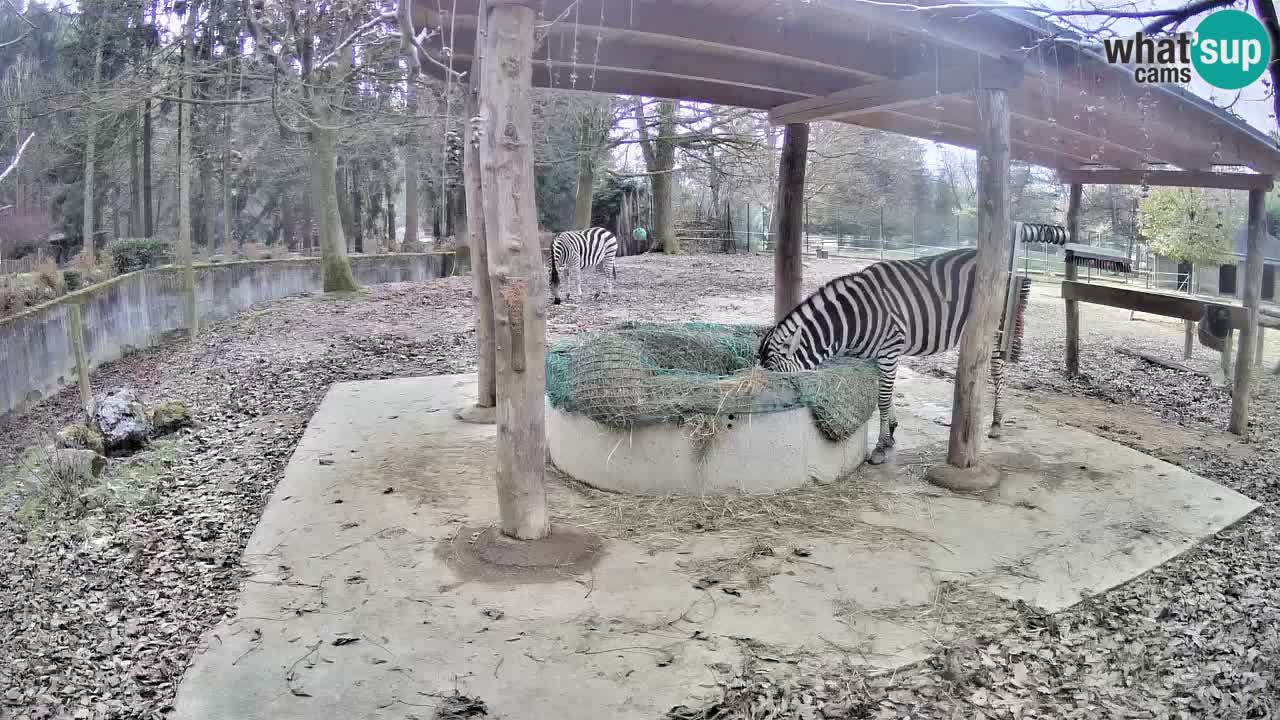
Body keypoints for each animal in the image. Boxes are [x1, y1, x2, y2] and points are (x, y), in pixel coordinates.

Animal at [757, 245, 1029, 466]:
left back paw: (996, 422)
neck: (853, 319)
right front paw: (891, 432)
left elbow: (884, 398)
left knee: (998, 371)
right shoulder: (876, 355)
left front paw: (880, 447)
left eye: (779, 380)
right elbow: (885, 393)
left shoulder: (889, 349)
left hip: (995, 326)